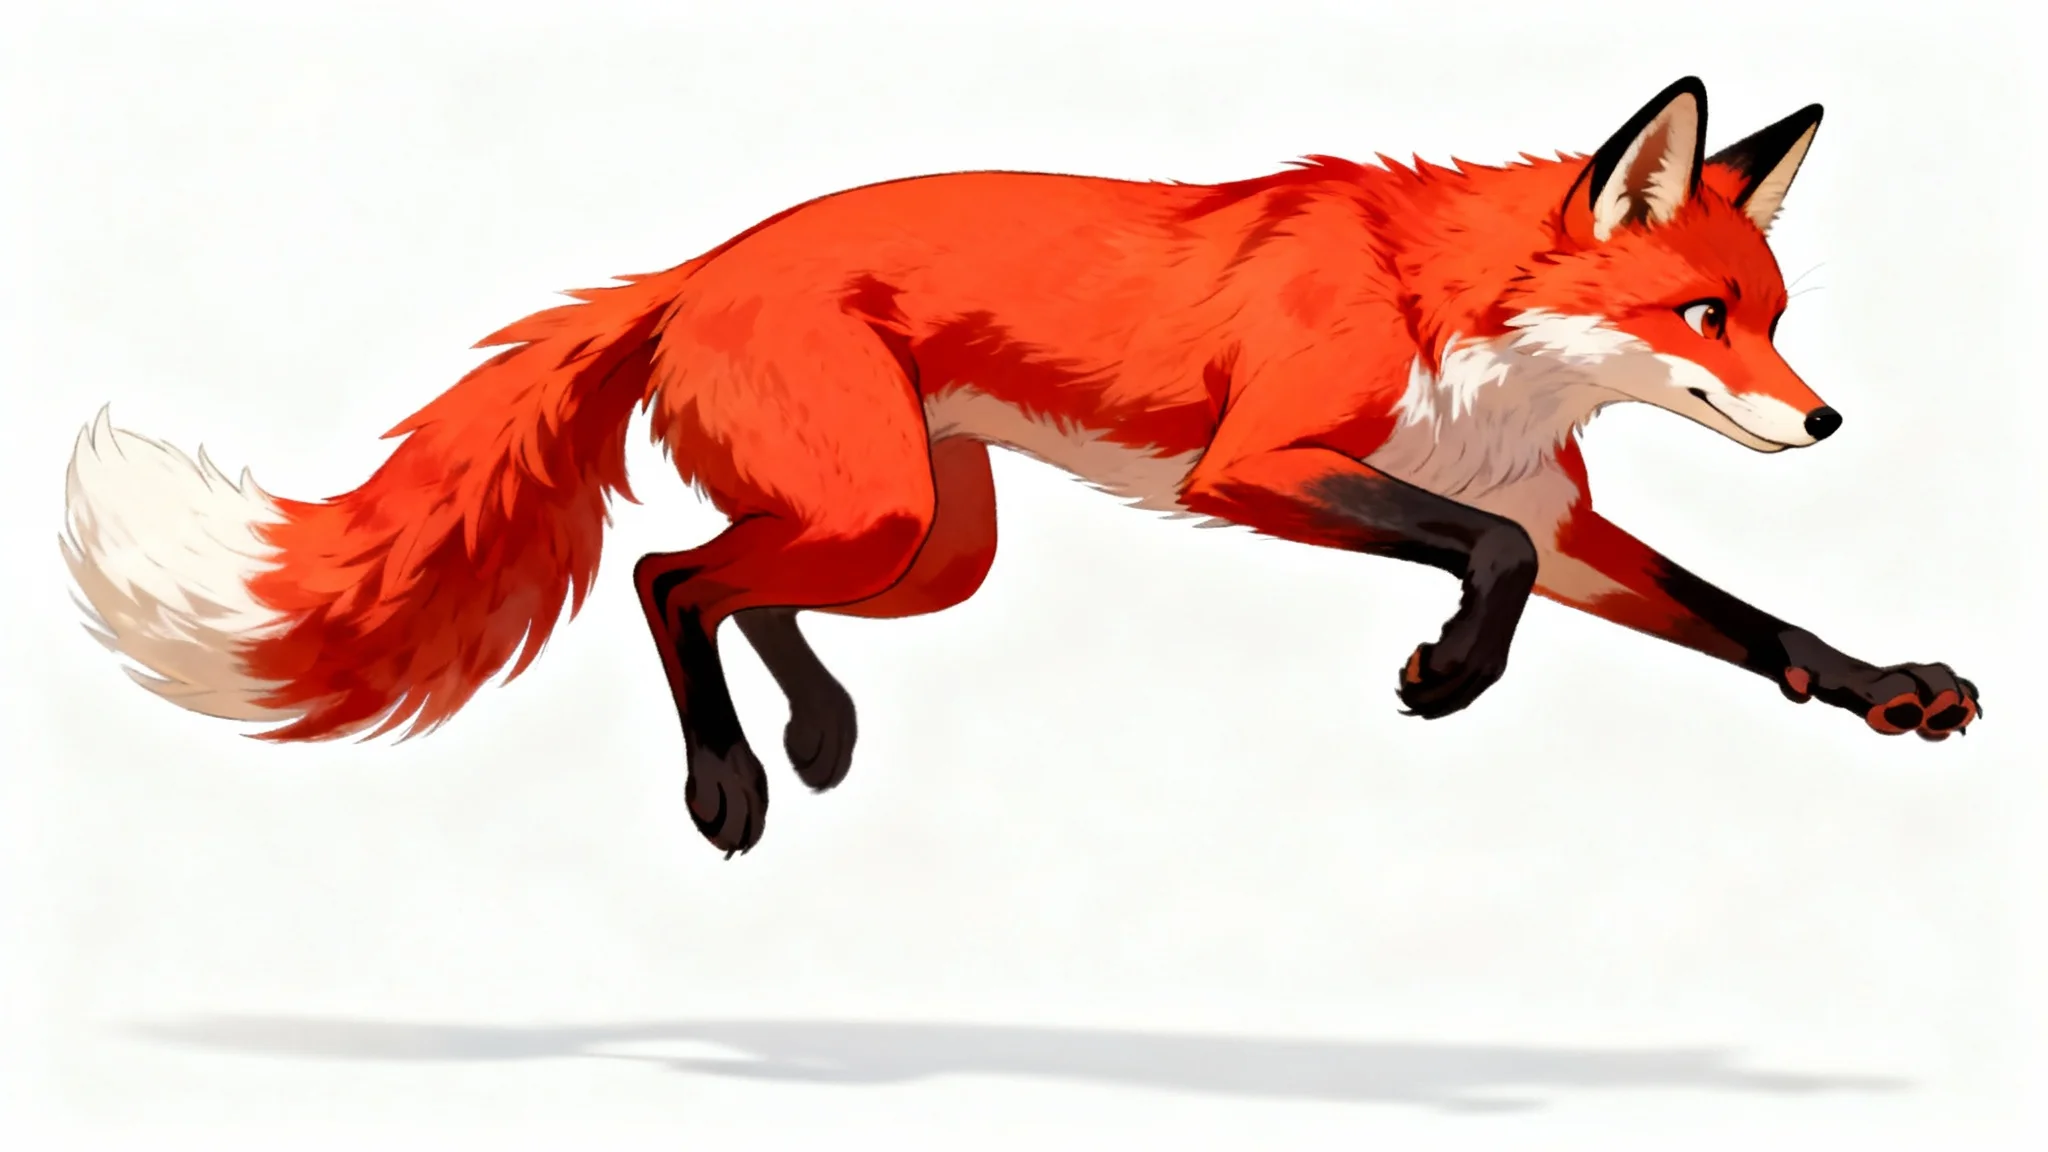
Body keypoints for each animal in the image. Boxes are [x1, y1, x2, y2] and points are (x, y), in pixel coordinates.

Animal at [63, 76, 1981, 857]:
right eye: (1703, 313)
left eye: (1774, 316)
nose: (1824, 422)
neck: (1458, 327)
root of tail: (695, 262)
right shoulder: (1257, 466)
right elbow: (1477, 565)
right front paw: (1444, 675)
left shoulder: (1561, 522)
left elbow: (1756, 626)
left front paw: (1889, 686)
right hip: (885, 516)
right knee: (666, 575)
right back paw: (729, 784)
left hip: (925, 545)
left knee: (728, 579)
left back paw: (813, 730)